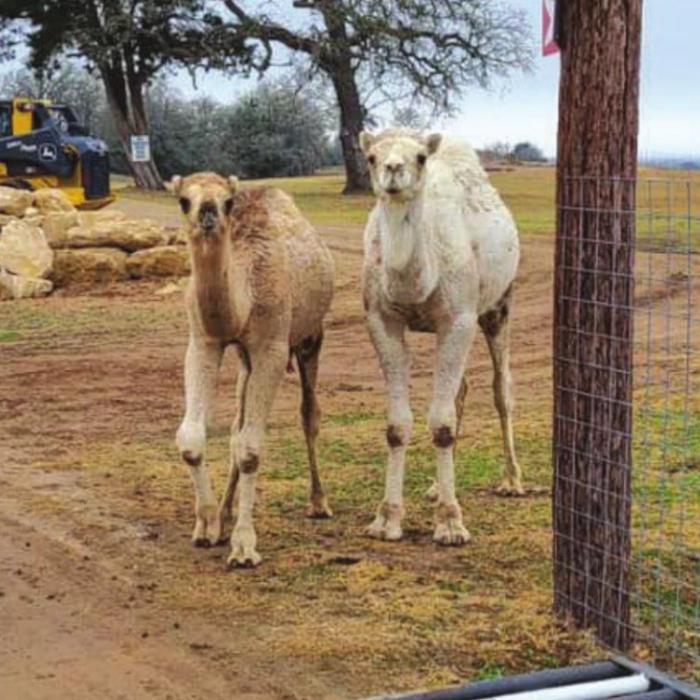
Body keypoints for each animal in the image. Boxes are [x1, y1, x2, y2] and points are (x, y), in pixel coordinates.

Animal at [171, 172, 334, 568]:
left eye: (228, 201)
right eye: (184, 200)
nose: (208, 213)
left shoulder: (271, 348)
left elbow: (250, 451)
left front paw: (244, 547)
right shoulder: (204, 342)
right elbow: (194, 439)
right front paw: (207, 525)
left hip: (310, 337)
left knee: (309, 415)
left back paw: (319, 502)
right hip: (245, 362)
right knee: (235, 427)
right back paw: (226, 511)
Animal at [359, 129, 523, 546]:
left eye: (420, 157)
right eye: (371, 157)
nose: (393, 169)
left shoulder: (459, 318)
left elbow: (443, 425)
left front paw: (450, 524)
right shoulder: (381, 320)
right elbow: (397, 426)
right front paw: (386, 519)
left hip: (499, 304)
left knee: (501, 389)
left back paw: (512, 480)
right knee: (461, 390)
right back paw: (435, 488)